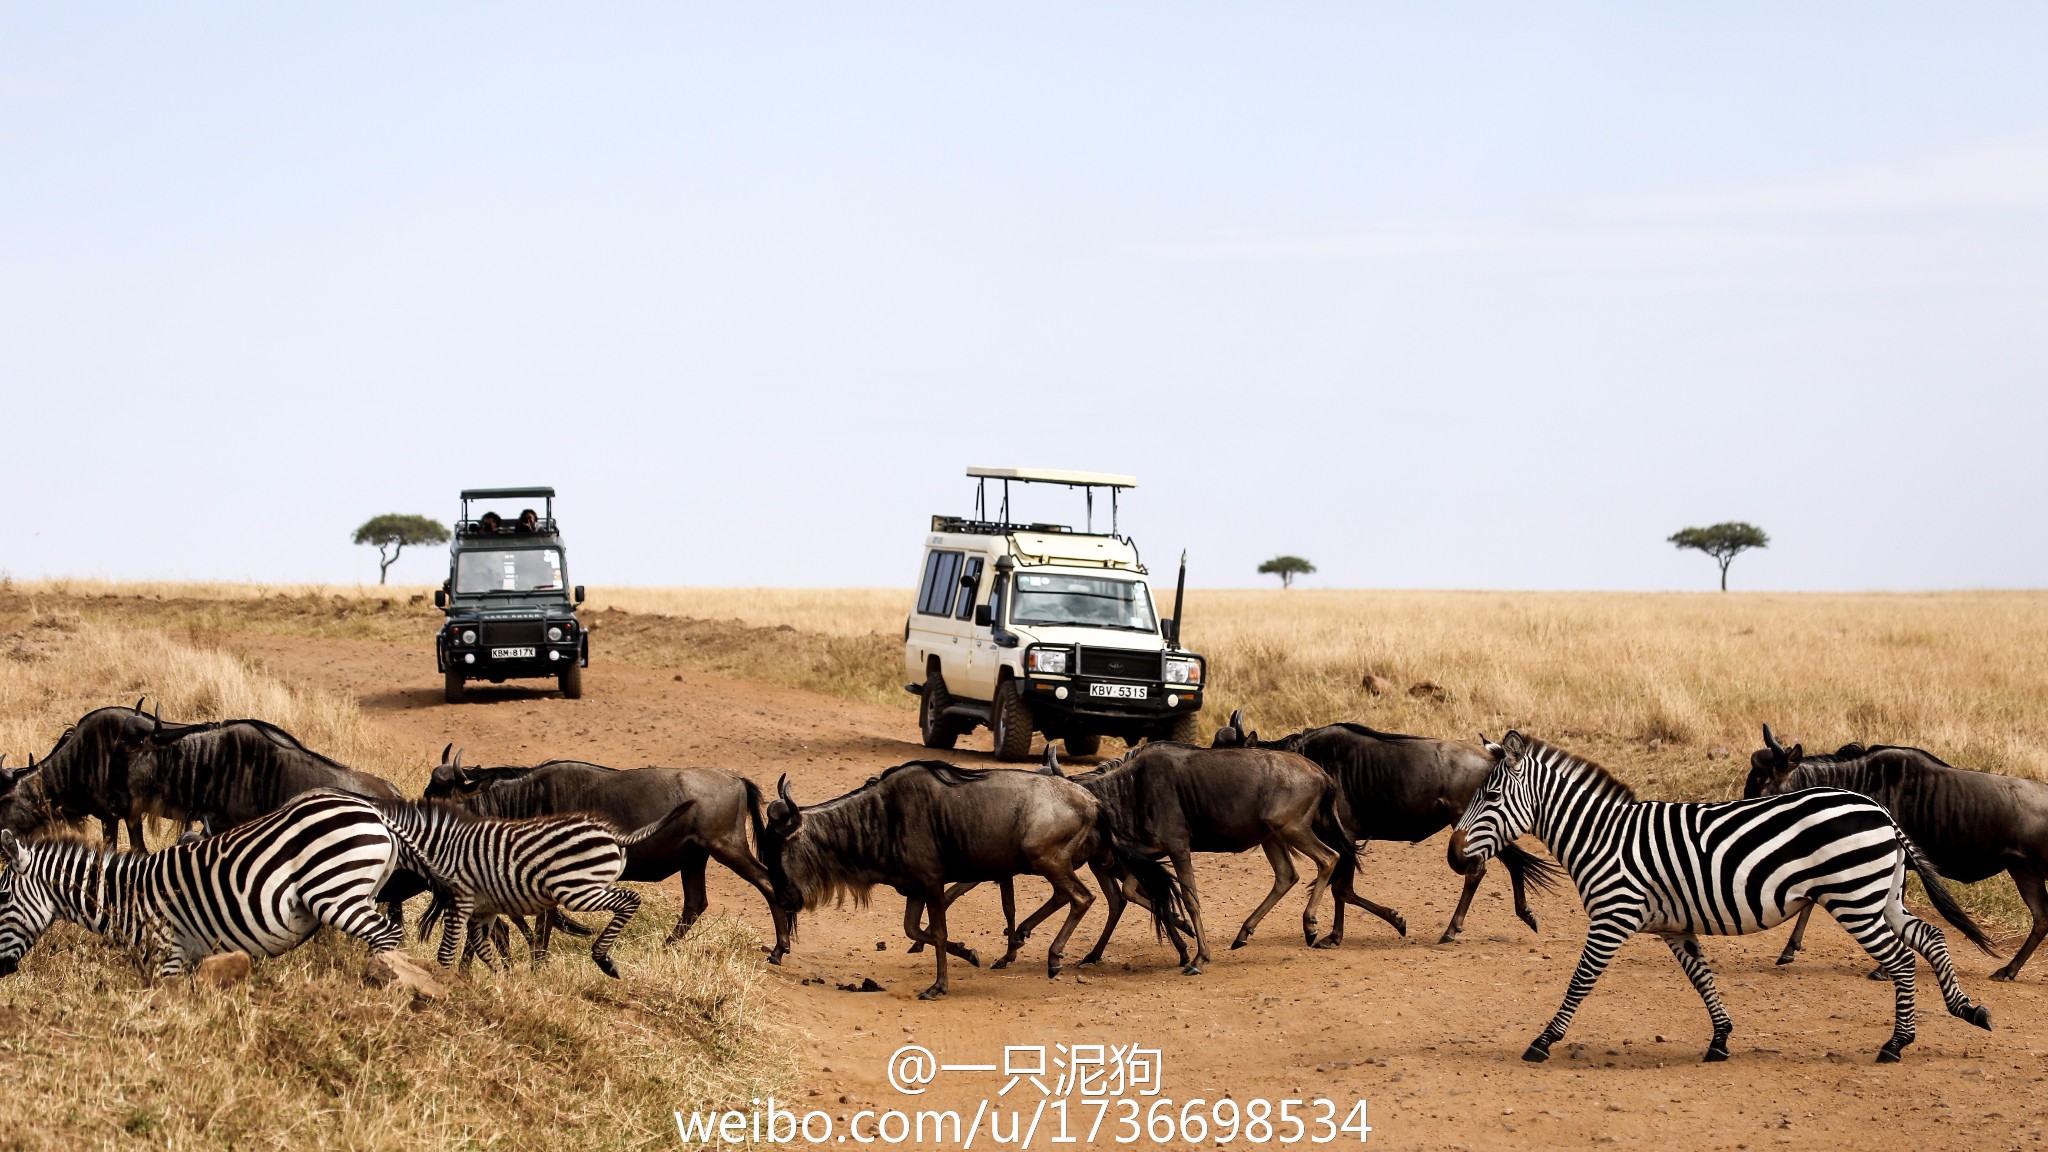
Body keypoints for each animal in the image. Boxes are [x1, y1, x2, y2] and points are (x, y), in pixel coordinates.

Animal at [0, 783, 403, 971]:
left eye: (1, 901)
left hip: (332, 891)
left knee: (386, 934)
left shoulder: (170, 954)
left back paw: (377, 985)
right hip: (361, 889)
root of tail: (374, 812)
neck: (126, 900)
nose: (0, 971)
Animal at [366, 799, 679, 975]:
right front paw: (504, 980)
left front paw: (444, 980)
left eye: (392, 868)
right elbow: (482, 947)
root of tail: (612, 835)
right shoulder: (483, 908)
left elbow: (448, 950)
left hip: (575, 889)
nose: (378, 895)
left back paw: (603, 959)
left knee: (630, 899)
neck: (442, 848)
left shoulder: (462, 899)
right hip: (586, 886)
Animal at [1449, 729, 1990, 1065]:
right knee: (1931, 935)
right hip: (1883, 895)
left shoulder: (1612, 917)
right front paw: (1721, 1039)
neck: (1603, 837)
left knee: (1901, 959)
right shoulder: (1674, 926)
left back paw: (1897, 1043)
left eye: (1491, 798)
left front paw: (1543, 1041)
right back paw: (1966, 1009)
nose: (1454, 856)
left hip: (1855, 897)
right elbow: (1702, 978)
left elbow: (1579, 983)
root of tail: (1878, 808)